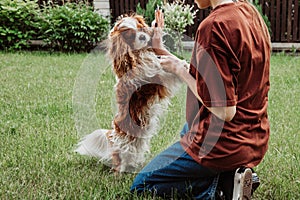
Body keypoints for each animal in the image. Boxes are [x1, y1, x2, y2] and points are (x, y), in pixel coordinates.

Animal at [74, 13, 180, 172]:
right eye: (130, 36)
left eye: (140, 28)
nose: (142, 37)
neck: (138, 54)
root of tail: (113, 134)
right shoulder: (156, 78)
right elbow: (163, 69)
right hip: (123, 145)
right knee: (118, 160)